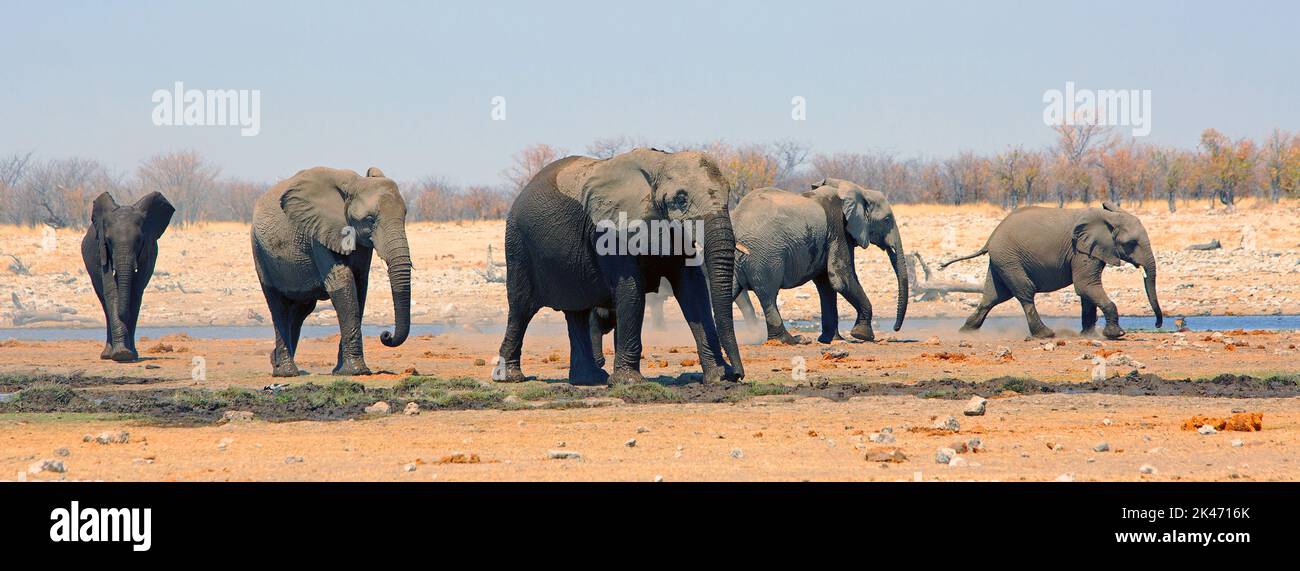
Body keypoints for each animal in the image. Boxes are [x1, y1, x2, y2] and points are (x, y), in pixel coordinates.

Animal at [80, 192, 175, 361]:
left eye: (139, 240)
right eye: (109, 241)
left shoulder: (148, 251)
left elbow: (135, 292)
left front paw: (128, 355)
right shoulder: (102, 250)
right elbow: (112, 291)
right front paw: (121, 354)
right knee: (103, 301)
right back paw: (107, 355)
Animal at [250, 167, 413, 377]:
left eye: (405, 215)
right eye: (370, 220)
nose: (386, 335)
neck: (354, 183)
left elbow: (359, 286)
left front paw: (341, 371)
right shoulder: (319, 231)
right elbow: (343, 281)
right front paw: (357, 372)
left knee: (300, 310)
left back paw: (277, 363)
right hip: (260, 252)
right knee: (278, 307)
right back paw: (287, 372)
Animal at [493, 149, 743, 387]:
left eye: (728, 193)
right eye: (681, 199)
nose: (738, 374)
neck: (659, 164)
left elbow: (693, 290)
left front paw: (718, 377)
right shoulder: (609, 231)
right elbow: (631, 289)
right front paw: (629, 382)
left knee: (577, 313)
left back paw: (589, 379)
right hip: (517, 247)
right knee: (521, 309)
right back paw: (510, 377)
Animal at [733, 179, 915, 343]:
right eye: (887, 220)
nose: (895, 328)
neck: (857, 190)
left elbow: (827, 284)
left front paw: (832, 339)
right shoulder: (839, 230)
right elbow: (841, 279)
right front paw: (862, 335)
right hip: (764, 256)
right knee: (768, 296)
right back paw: (789, 340)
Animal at [941, 200, 1164, 338]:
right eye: (1131, 243)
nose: (1157, 325)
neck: (1109, 217)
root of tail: (990, 238)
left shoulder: (1090, 251)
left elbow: (1087, 290)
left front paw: (1088, 335)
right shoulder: (1081, 250)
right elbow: (1085, 286)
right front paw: (1116, 335)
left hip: (1002, 260)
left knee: (994, 296)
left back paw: (966, 331)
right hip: (1009, 259)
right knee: (1025, 292)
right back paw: (1045, 334)